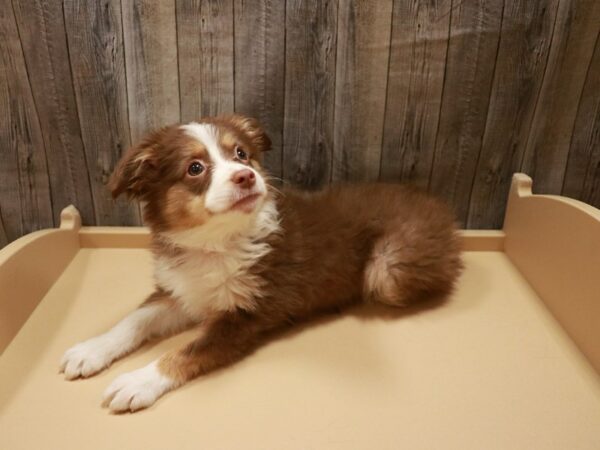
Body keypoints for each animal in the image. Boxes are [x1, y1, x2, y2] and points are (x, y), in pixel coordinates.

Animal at [59, 114, 464, 414]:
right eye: (194, 168)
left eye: (241, 153)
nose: (246, 176)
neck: (215, 243)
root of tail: (442, 208)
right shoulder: (183, 290)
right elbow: (134, 320)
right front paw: (90, 351)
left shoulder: (243, 316)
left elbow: (188, 350)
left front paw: (137, 381)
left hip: (388, 269)